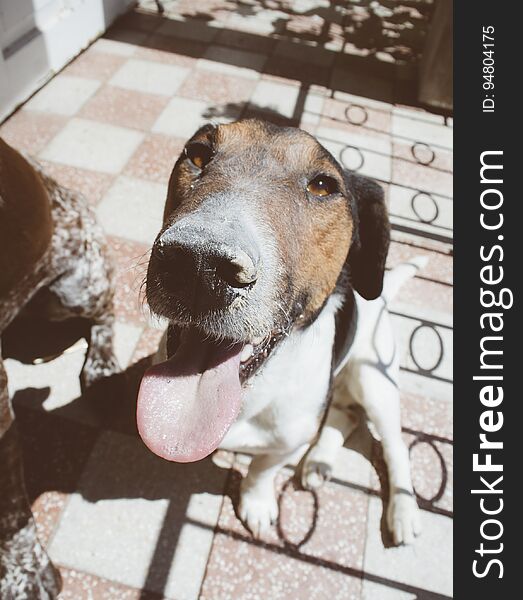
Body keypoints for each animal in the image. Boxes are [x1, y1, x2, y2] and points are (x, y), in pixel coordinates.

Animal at [138, 118, 422, 544]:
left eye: (322, 185)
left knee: (395, 445)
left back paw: (403, 511)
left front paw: (256, 504)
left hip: (376, 381)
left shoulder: (288, 441)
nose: (199, 264)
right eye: (198, 154)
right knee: (345, 414)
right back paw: (320, 461)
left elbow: (262, 470)